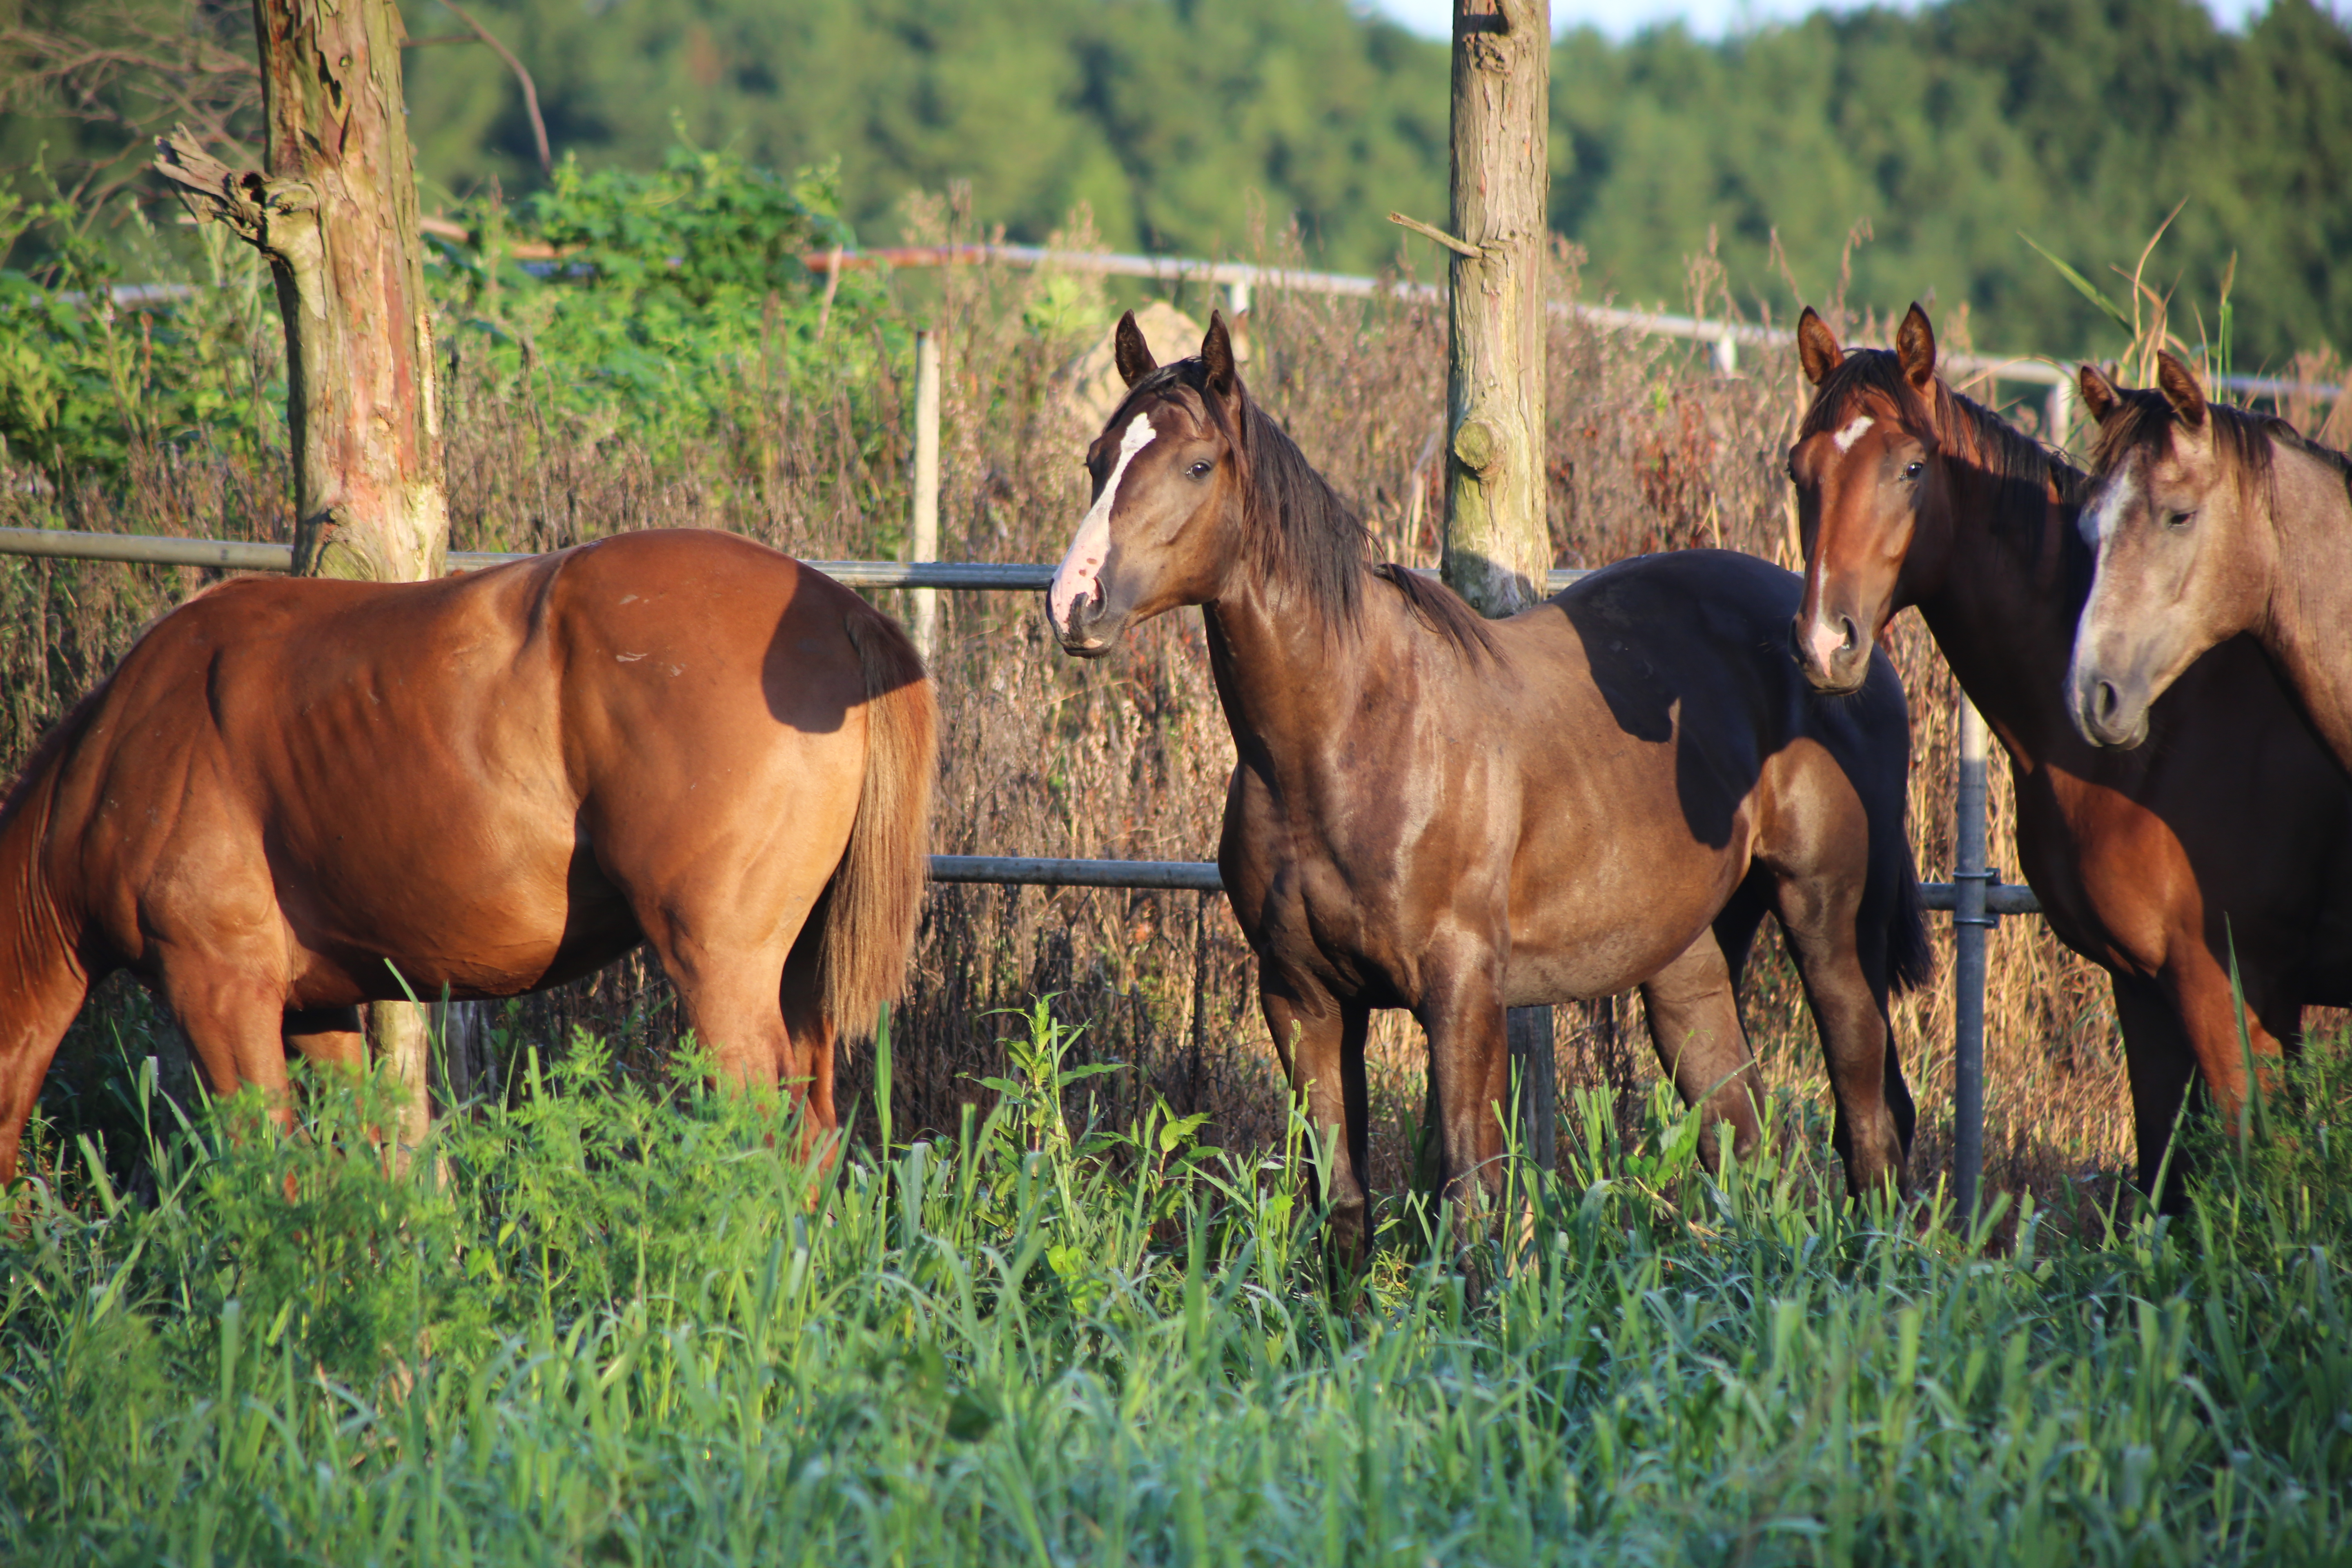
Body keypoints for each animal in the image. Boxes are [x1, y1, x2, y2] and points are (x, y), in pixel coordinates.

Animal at [0, 526, 936, 1175]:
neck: (122, 750)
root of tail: (840, 609)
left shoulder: (219, 990)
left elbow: (272, 1166)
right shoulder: (316, 1010)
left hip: (721, 966)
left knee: (763, 1130)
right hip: (801, 972)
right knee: (814, 1132)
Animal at [1049, 315, 1929, 1250]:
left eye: (1196, 465)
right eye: (1097, 460)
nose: (1074, 602)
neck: (1346, 739)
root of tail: (1840, 644)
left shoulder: (1463, 991)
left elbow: (1471, 1200)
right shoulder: (1302, 998)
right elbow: (1345, 1207)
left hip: (1830, 925)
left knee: (1869, 1121)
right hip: (1688, 958)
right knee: (1740, 1136)